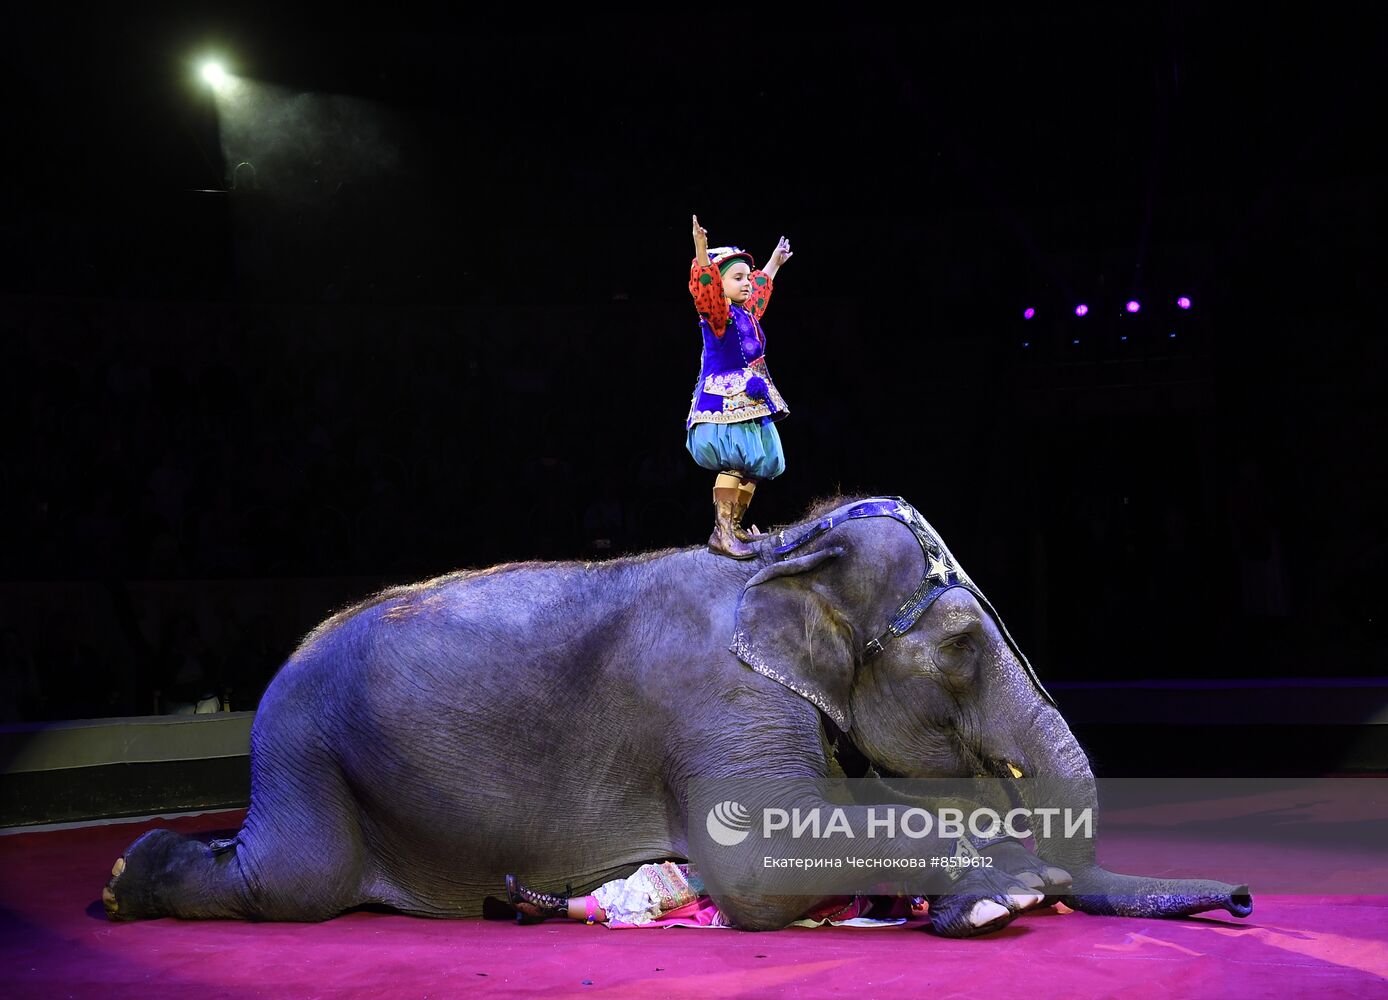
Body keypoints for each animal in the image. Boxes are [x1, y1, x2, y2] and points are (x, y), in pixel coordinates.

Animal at [102, 491, 1254, 938]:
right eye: (967, 645)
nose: (1246, 898)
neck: (786, 549)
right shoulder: (722, 699)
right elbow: (751, 866)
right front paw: (1006, 895)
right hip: (306, 752)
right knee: (286, 884)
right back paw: (124, 879)